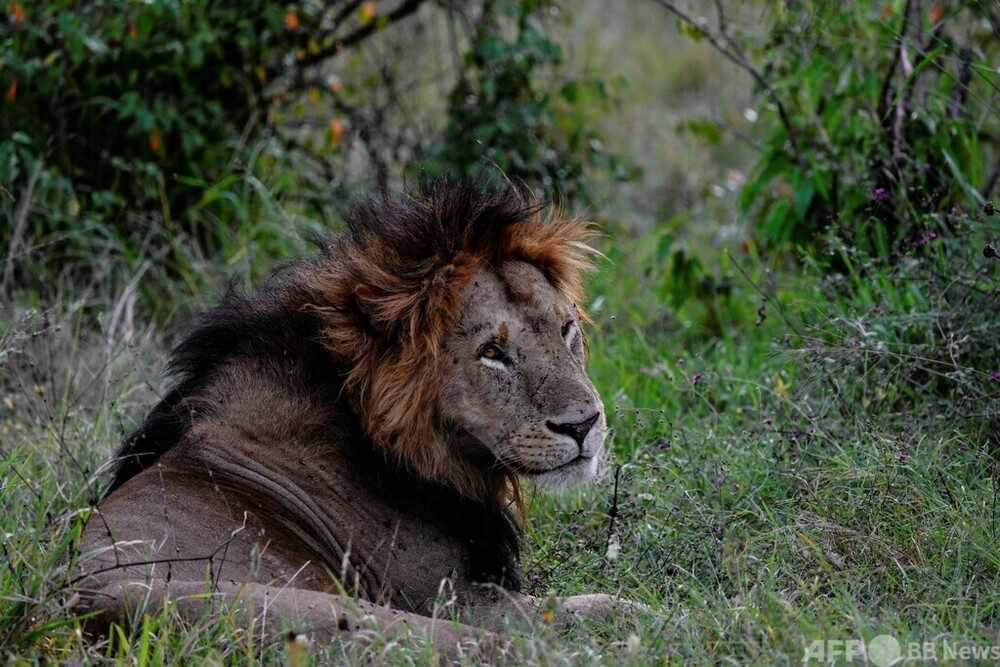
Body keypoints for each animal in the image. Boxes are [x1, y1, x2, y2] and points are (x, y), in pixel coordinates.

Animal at [74, 179, 612, 656]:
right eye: (492, 352)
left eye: (566, 329)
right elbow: (591, 607)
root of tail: (93, 609)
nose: (584, 425)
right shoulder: (455, 597)